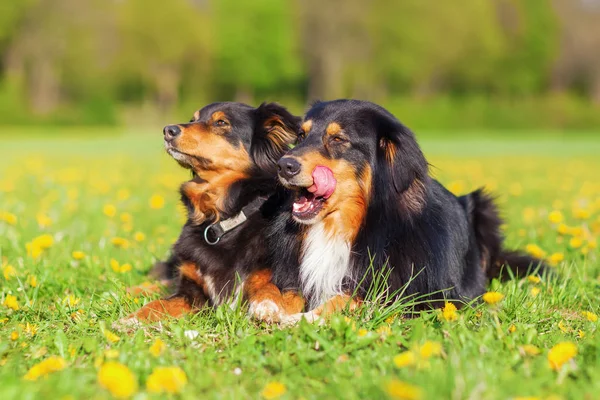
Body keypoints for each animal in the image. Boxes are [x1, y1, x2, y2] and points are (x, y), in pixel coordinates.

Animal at [268, 100, 544, 324]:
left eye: (338, 139)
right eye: (301, 135)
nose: (283, 165)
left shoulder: (422, 296)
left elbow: (347, 298)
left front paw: (304, 318)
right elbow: (287, 292)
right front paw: (269, 307)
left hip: (484, 209)